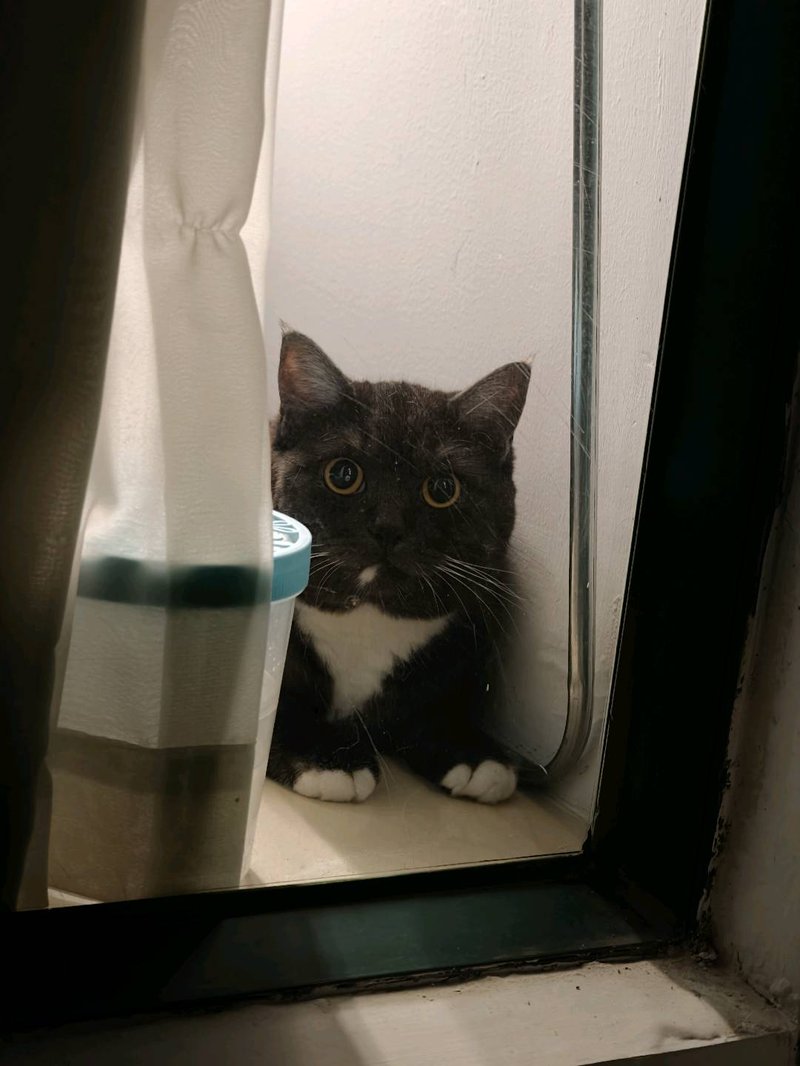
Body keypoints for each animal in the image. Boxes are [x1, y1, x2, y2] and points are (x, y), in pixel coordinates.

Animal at [267, 330, 530, 804]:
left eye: (443, 488)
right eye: (343, 474)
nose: (388, 527)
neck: (368, 618)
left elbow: (429, 710)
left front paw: (471, 751)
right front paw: (327, 756)